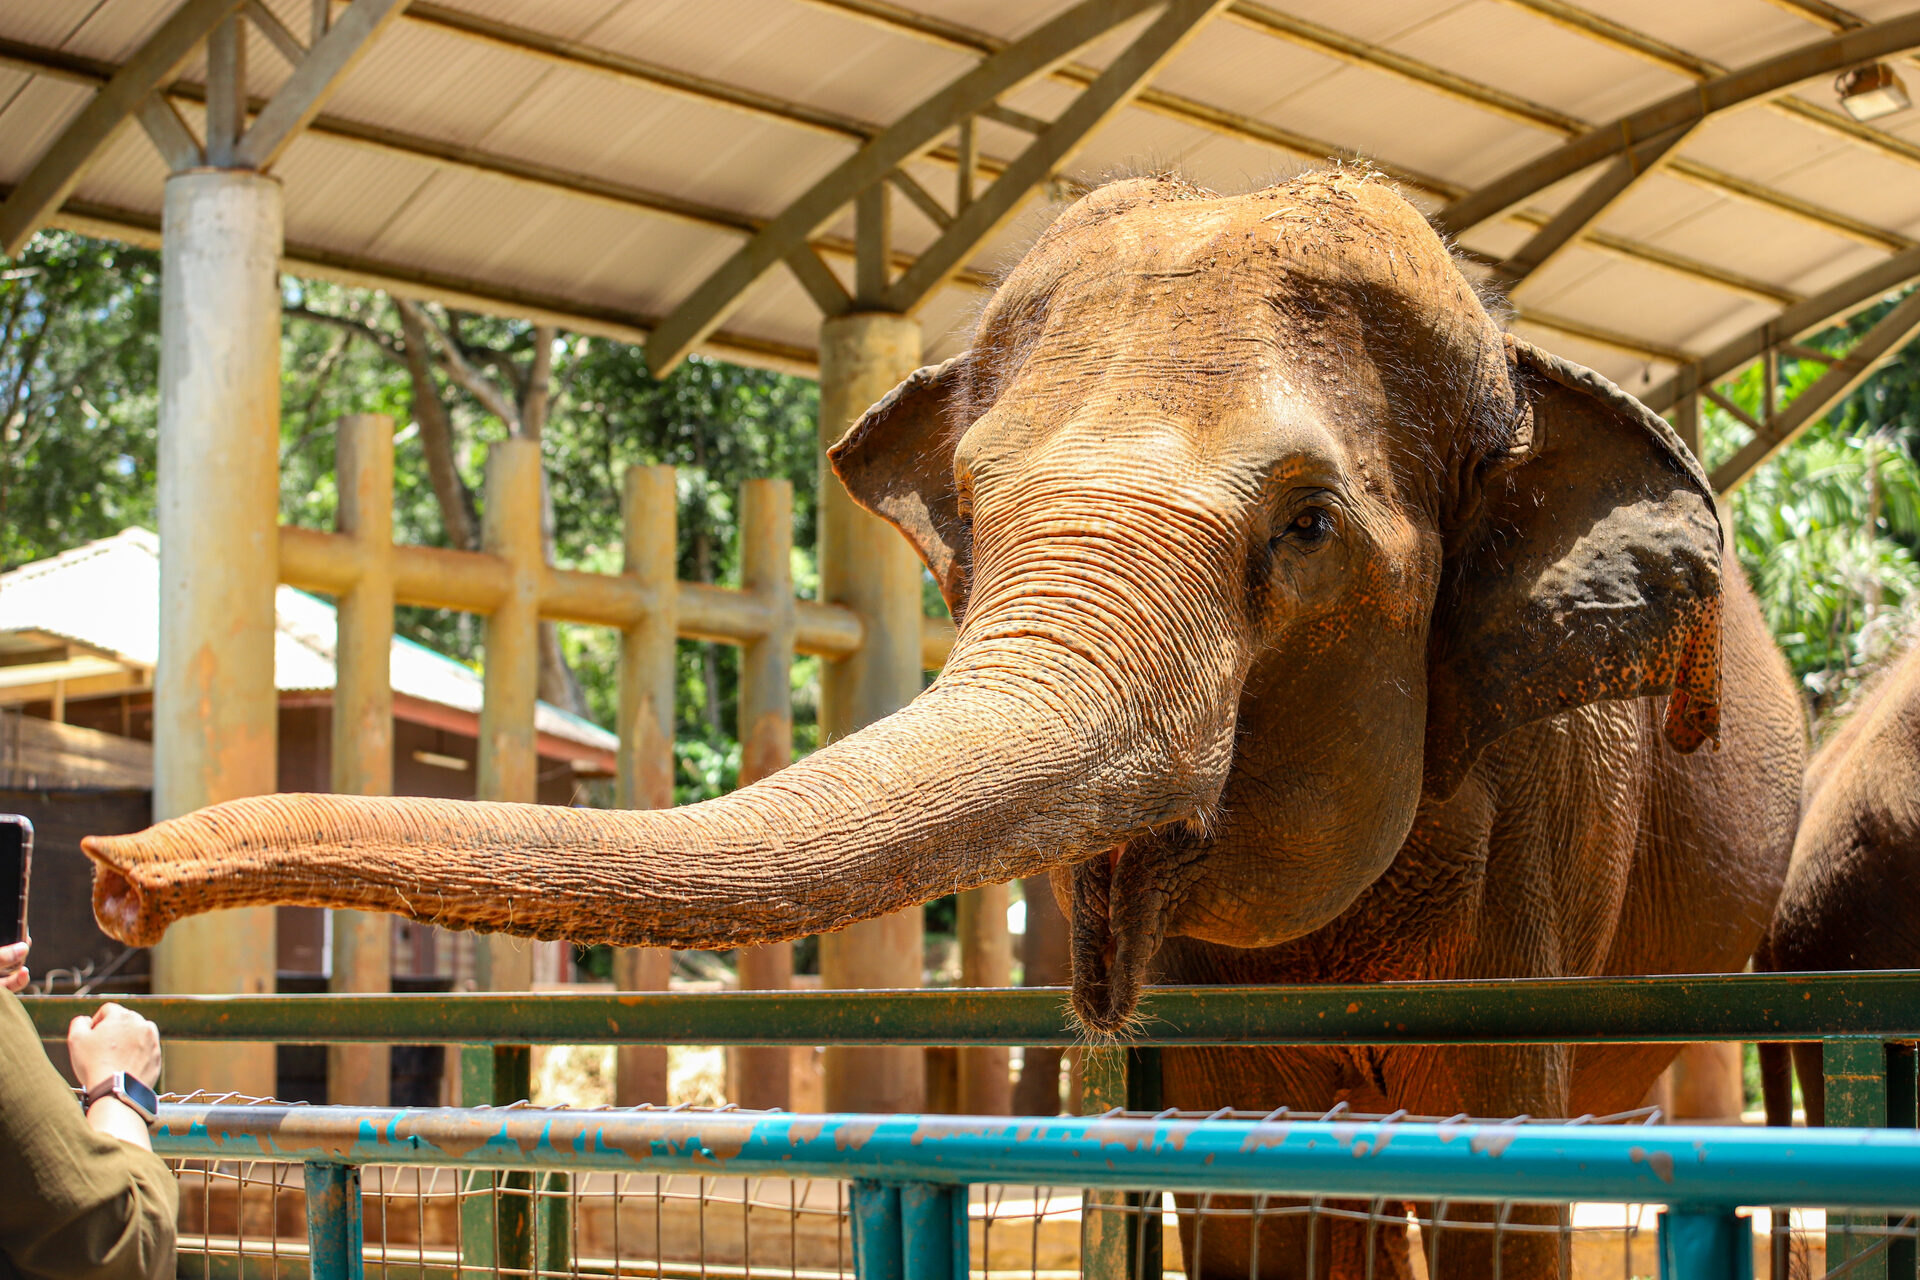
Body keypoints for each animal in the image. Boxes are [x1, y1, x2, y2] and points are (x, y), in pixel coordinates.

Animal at [83, 171, 1805, 1277]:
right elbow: (1258, 1208)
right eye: (969, 506)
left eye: (1308, 527)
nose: (113, 881)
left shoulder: (1549, 821)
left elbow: (1500, 1184)